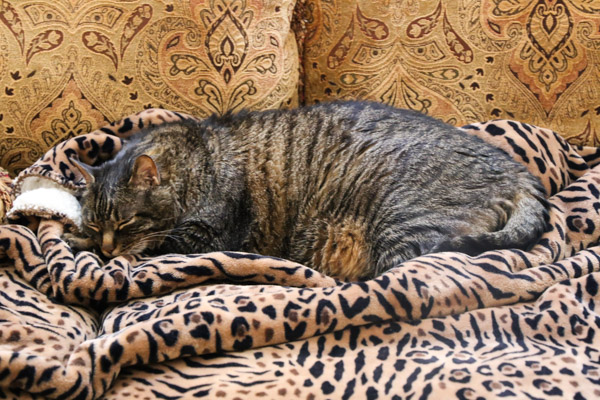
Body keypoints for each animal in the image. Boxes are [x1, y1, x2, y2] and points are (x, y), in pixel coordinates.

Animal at [69, 101, 548, 280]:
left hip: (404, 222)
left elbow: (157, 245)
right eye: (95, 224)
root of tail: (518, 171)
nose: (106, 248)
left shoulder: (205, 234)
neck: (195, 159)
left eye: (126, 222)